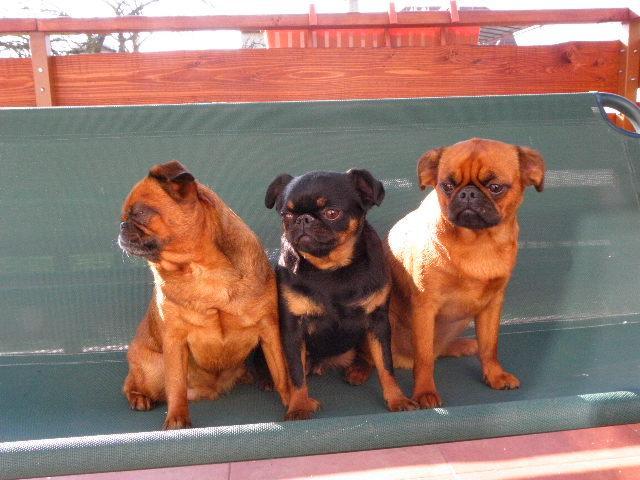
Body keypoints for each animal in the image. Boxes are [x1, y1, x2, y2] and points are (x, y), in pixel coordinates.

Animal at [118, 160, 289, 429]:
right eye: (126, 217)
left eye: (141, 213)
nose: (122, 225)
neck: (201, 270)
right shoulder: (174, 341)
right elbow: (175, 387)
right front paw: (177, 420)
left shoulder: (269, 329)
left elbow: (283, 373)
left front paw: (294, 402)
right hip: (152, 368)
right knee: (132, 384)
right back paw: (140, 398)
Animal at [265, 169, 417, 420]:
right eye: (287, 215)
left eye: (332, 213)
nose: (303, 219)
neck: (331, 269)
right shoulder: (293, 330)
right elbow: (296, 374)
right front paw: (299, 405)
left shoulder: (378, 322)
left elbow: (386, 364)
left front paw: (397, 399)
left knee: (368, 356)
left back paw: (357, 370)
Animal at [386, 138, 546, 408]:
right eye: (447, 186)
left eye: (495, 187)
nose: (468, 193)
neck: (478, 243)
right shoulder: (425, 308)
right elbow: (424, 357)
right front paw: (424, 391)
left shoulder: (492, 305)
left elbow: (490, 346)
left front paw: (495, 375)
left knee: (441, 348)